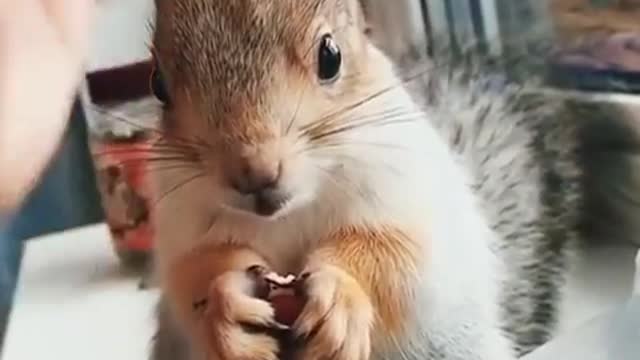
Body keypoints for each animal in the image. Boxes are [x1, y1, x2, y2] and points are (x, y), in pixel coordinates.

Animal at [144, 0, 640, 360]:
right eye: (158, 85)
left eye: (330, 56)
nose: (254, 172)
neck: (287, 216)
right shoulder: (180, 225)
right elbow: (196, 272)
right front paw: (225, 303)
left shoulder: (409, 196)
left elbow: (392, 257)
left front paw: (341, 295)